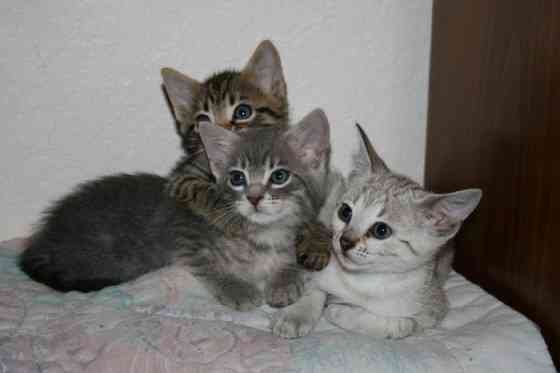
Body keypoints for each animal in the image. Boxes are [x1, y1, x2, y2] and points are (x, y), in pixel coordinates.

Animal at [272, 124, 482, 338]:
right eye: (345, 212)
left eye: (381, 230)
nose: (345, 240)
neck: (359, 281)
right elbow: (314, 288)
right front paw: (296, 315)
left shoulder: (432, 309)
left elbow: (396, 325)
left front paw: (339, 310)